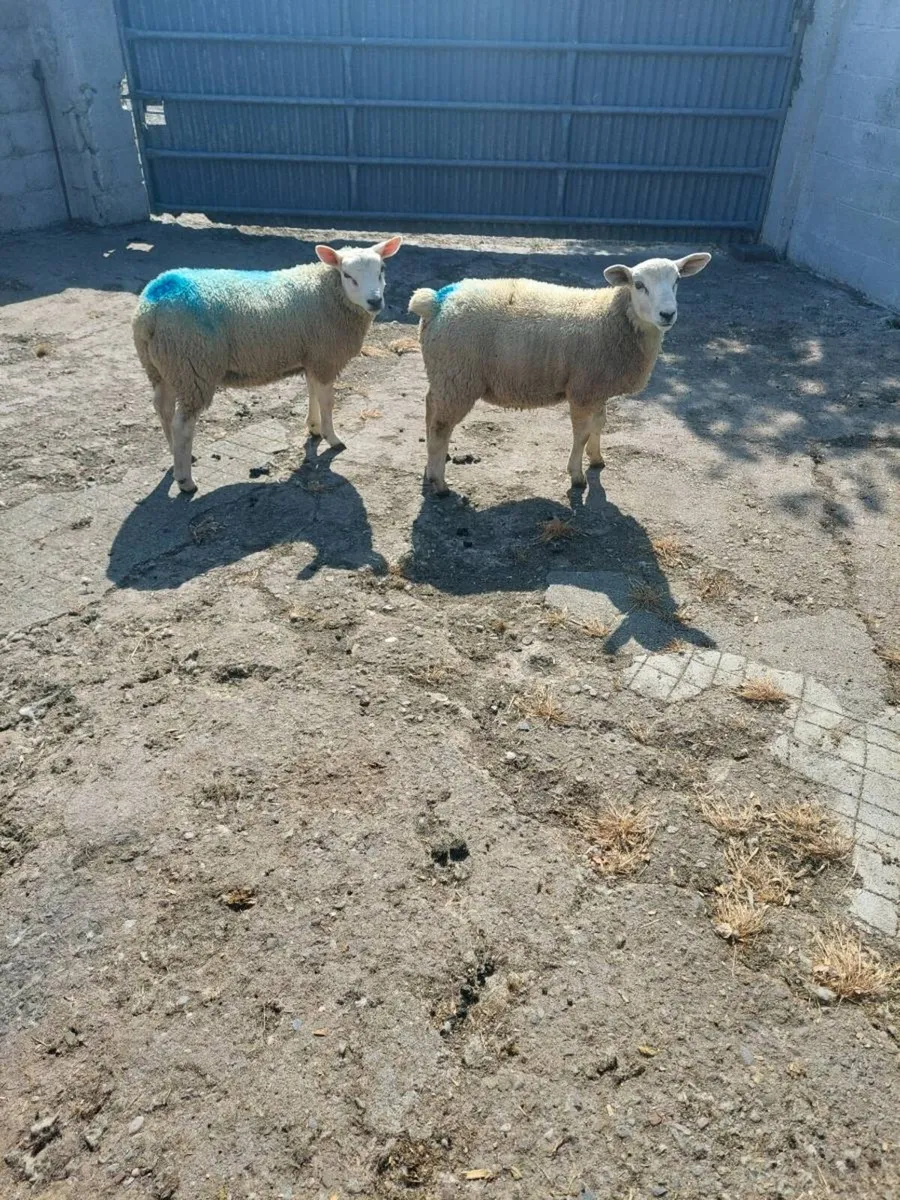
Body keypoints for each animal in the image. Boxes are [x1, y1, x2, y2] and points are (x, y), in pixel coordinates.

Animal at [133, 236, 402, 492]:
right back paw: (186, 480)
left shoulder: (312, 355)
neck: (327, 292)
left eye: (381, 269)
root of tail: (151, 308)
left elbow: (313, 393)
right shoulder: (325, 357)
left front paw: (314, 428)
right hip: (193, 366)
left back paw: (177, 456)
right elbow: (327, 402)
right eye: (347, 275)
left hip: (163, 367)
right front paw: (332, 437)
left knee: (163, 408)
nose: (375, 301)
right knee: (182, 426)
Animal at [408, 253, 711, 494]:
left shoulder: (597, 388)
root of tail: (436, 302)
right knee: (441, 427)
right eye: (638, 285)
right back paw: (439, 483)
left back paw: (429, 468)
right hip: (457, 377)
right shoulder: (583, 390)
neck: (611, 317)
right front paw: (577, 476)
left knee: (429, 410)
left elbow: (599, 425)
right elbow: (581, 433)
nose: (667, 314)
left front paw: (596, 459)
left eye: (677, 280)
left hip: (444, 375)